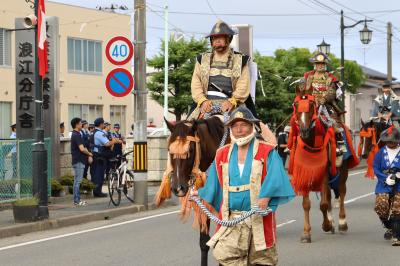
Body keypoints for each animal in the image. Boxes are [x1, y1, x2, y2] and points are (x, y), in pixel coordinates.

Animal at [288, 94, 360, 243]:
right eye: (296, 105)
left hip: (342, 170)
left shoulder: (325, 173)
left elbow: (324, 204)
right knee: (329, 195)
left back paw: (342, 223)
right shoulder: (306, 173)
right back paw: (332, 221)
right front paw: (306, 233)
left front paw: (326, 225)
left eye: (311, 106)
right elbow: (307, 204)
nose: (304, 130)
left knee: (342, 192)